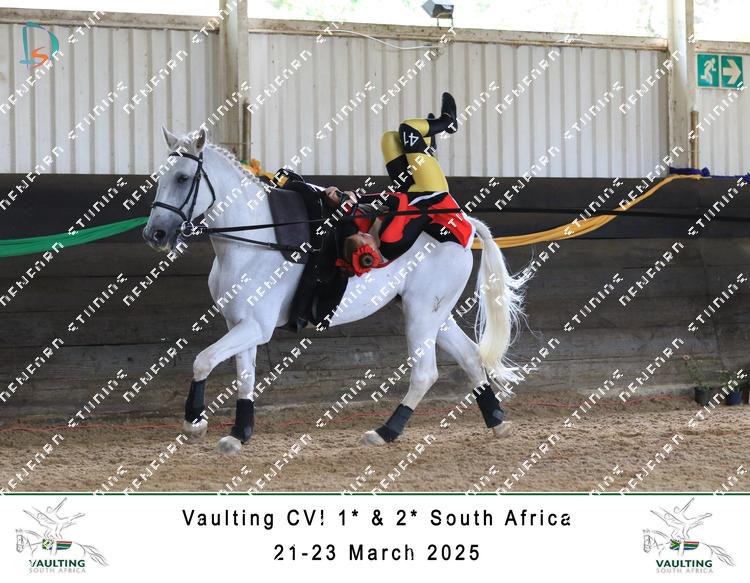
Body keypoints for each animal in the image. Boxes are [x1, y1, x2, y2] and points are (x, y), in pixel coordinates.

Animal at [142, 127, 526, 455]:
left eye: (183, 178)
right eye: (160, 178)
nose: (155, 234)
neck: (256, 238)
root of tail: (461, 224)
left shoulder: (256, 327)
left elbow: (203, 360)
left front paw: (194, 422)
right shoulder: (239, 324)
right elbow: (244, 377)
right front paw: (239, 433)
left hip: (421, 316)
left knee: (425, 373)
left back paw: (385, 431)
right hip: (436, 315)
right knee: (471, 358)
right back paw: (496, 421)